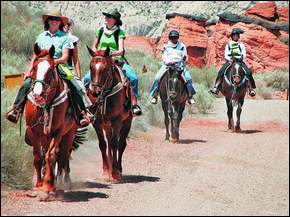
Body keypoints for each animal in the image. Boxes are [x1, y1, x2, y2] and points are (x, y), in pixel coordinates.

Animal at [24, 44, 81, 197]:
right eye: (35, 67)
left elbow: (51, 156)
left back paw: (62, 182)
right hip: (45, 135)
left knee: (62, 156)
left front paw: (48, 185)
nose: (37, 94)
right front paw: (39, 184)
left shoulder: (58, 131)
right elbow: (38, 157)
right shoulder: (33, 130)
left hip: (69, 134)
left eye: (50, 70)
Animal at [86, 46, 133, 182]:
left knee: (121, 144)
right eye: (91, 67)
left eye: (105, 69)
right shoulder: (96, 122)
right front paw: (106, 171)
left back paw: (118, 170)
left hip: (127, 122)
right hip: (106, 125)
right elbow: (102, 144)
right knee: (108, 142)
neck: (106, 95)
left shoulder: (117, 121)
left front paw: (115, 173)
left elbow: (114, 144)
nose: (95, 92)